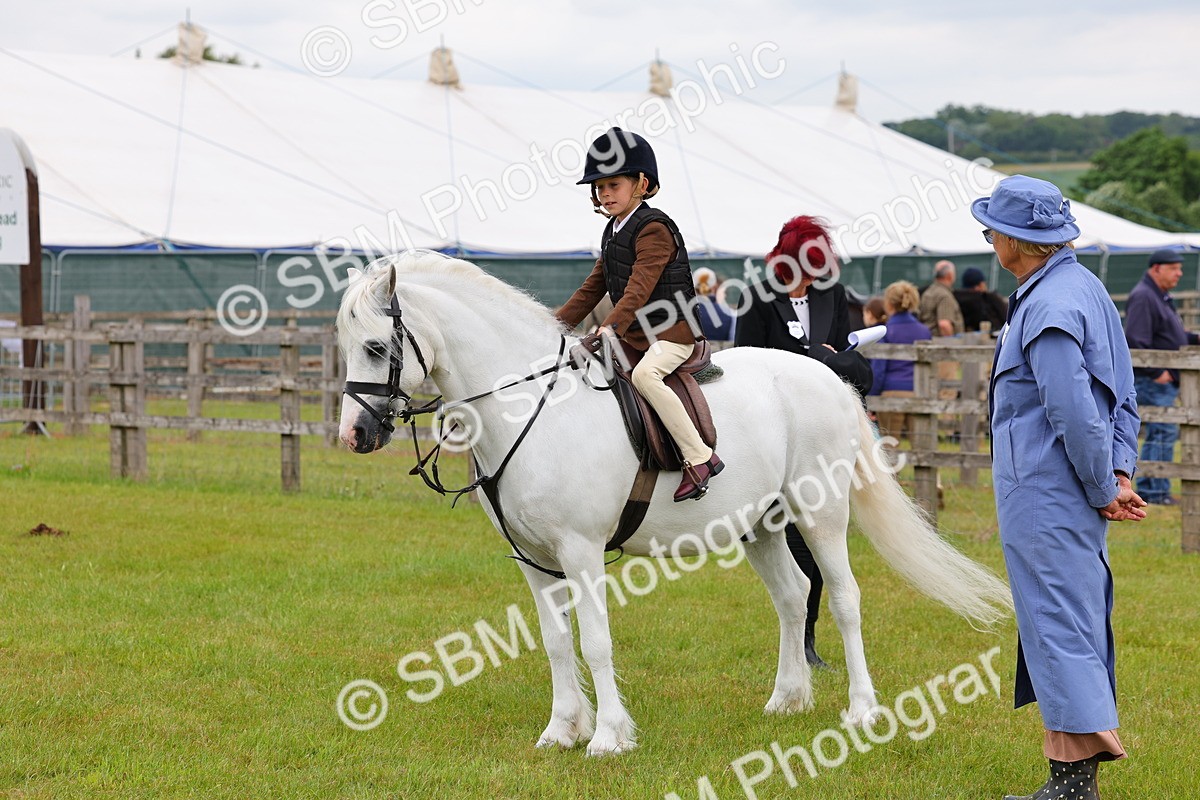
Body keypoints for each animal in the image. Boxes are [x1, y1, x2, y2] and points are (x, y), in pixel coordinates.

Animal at [336, 250, 1012, 756]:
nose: (355, 435)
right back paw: (786, 699)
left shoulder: (580, 551)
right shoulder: (533, 561)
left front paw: (608, 738)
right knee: (794, 597)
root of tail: (827, 373)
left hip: (820, 515)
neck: (532, 408)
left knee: (843, 599)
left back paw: (863, 711)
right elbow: (555, 642)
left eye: (376, 348)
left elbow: (595, 641)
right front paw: (561, 731)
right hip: (763, 524)